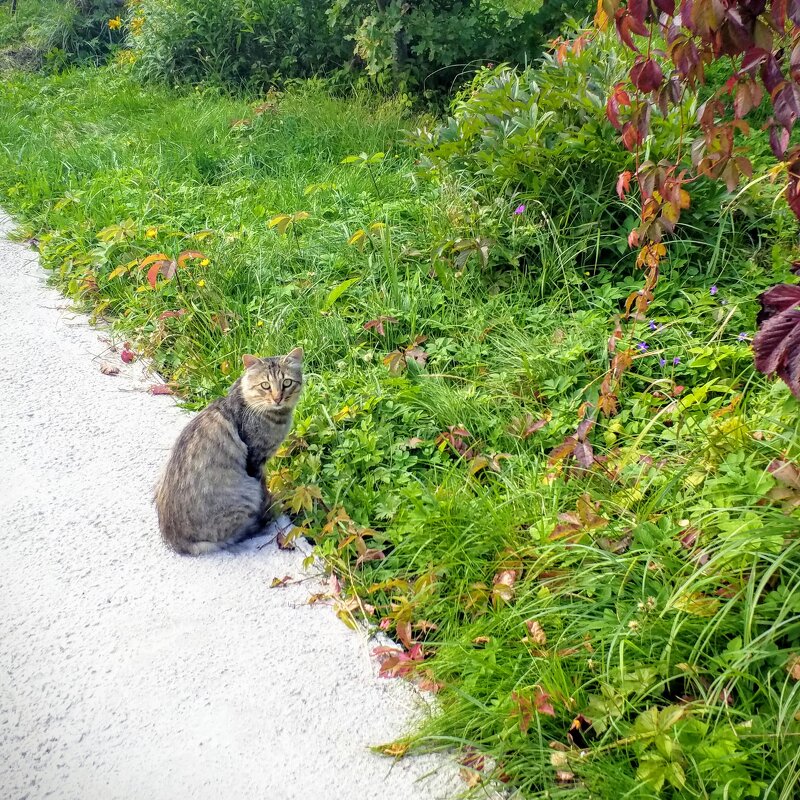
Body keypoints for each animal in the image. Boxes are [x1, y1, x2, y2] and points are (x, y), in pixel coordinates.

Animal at [155, 350, 304, 556]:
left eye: (287, 383)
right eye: (265, 386)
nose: (277, 398)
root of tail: (179, 543)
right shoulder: (256, 460)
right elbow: (264, 489)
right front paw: (268, 502)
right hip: (246, 492)